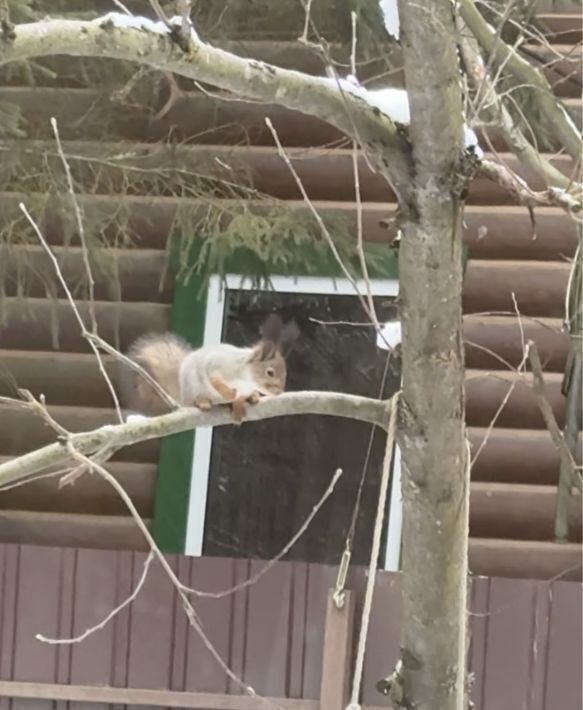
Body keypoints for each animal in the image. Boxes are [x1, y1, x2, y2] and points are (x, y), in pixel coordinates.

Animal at [120, 314, 298, 420]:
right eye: (270, 372)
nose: (279, 392)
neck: (247, 381)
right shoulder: (218, 365)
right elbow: (214, 379)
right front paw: (229, 394)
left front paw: (240, 404)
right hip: (192, 387)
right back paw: (203, 402)